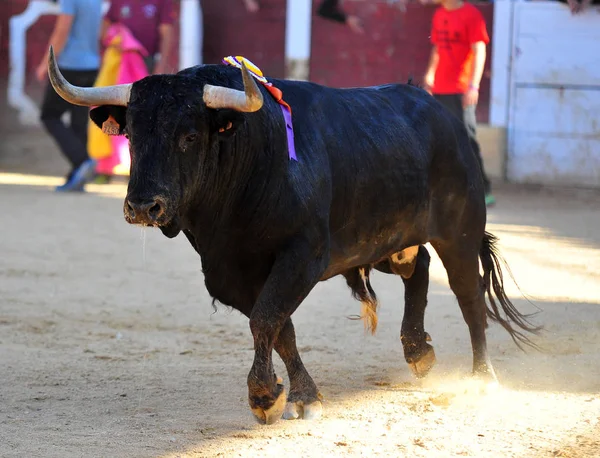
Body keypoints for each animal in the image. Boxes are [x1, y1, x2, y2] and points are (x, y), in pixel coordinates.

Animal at [49, 48, 540, 424]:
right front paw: (299, 394)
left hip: (459, 232)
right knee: (417, 269)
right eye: (131, 135)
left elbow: (266, 319)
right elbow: (279, 326)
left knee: (468, 295)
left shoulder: (305, 254)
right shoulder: (230, 273)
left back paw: (482, 377)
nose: (141, 207)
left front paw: (264, 396)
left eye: (189, 136)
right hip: (384, 241)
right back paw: (418, 351)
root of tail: (441, 113)